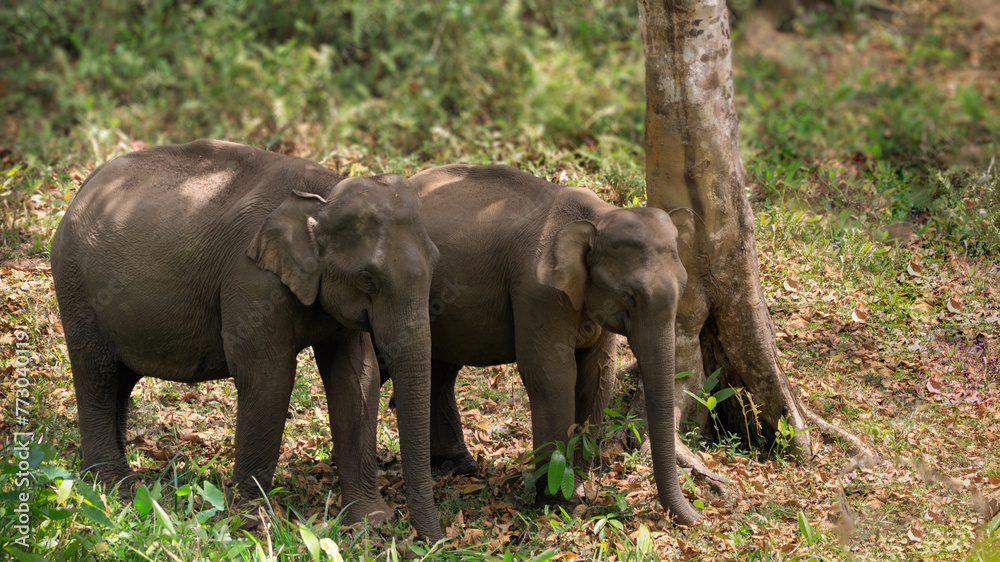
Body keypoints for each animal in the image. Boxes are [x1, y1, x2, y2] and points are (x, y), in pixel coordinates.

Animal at [50, 139, 442, 540]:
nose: (434, 541)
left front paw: (370, 522)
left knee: (121, 378)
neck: (323, 192)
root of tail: (82, 189)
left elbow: (355, 377)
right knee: (96, 372)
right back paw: (112, 487)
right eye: (367, 278)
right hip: (76, 287)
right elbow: (268, 379)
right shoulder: (251, 278)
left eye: (436, 261)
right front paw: (251, 524)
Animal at [378, 164, 700, 524]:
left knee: (441, 370)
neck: (599, 215)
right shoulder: (537, 291)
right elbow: (552, 376)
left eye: (684, 285)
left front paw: (581, 489)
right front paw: (555, 502)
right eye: (629, 295)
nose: (696, 518)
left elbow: (598, 376)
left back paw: (458, 467)